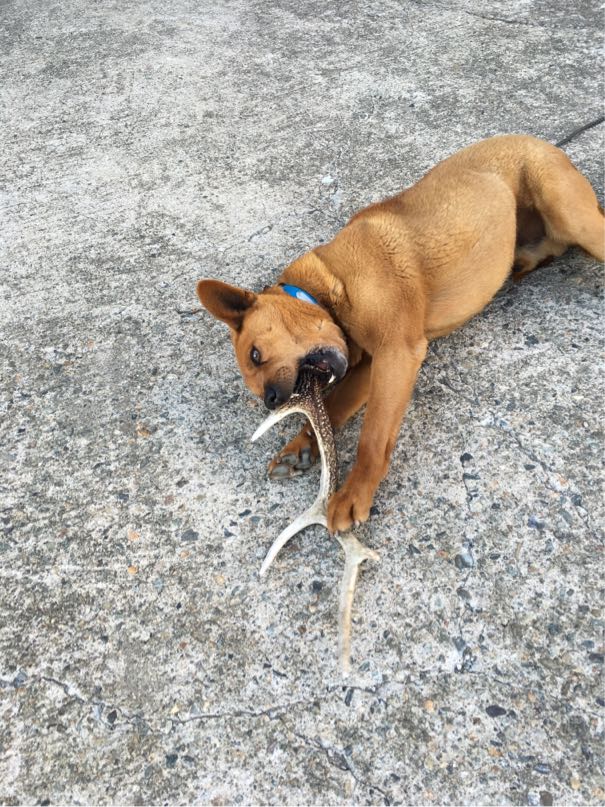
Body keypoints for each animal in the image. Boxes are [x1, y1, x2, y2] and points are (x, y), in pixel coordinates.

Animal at [197, 134, 604, 534]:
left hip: (574, 217)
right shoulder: (370, 364)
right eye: (257, 384)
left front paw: (354, 491)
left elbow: (373, 437)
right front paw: (301, 445)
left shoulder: (396, 354)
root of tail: (542, 142)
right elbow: (331, 407)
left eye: (255, 354)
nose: (271, 401)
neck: (328, 284)